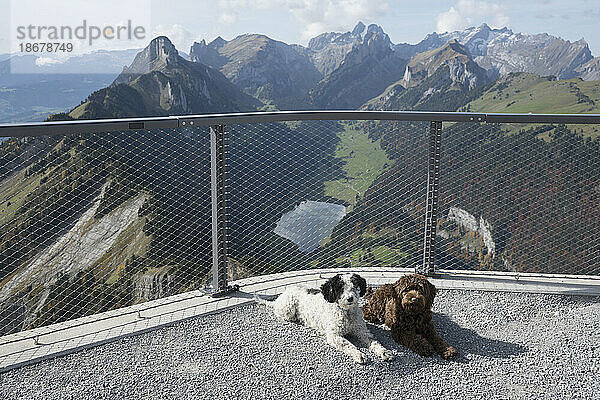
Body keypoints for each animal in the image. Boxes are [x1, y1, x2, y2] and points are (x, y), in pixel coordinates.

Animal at [254, 274, 392, 364]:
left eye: (355, 285)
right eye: (340, 288)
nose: (350, 298)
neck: (346, 313)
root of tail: (280, 297)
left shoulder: (362, 332)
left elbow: (374, 342)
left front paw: (384, 352)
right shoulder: (334, 335)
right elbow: (348, 344)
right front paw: (358, 354)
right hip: (288, 310)